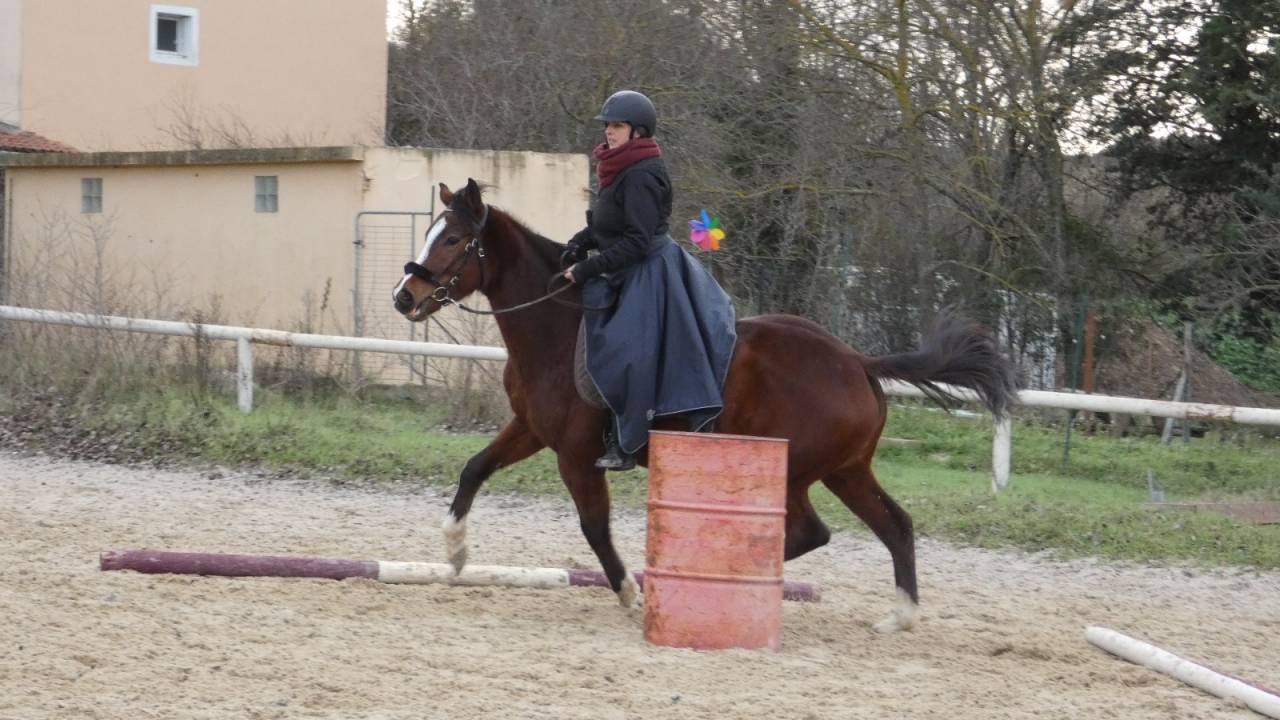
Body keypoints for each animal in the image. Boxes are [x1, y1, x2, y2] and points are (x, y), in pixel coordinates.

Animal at [392, 179, 1017, 632]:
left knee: (812, 531)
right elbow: (474, 469)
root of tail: (857, 362)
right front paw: (454, 553)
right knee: (895, 525)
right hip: (845, 471)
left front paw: (631, 594)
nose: (404, 297)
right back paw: (899, 616)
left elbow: (594, 527)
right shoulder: (530, 429)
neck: (557, 324)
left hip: (796, 471)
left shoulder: (575, 454)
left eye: (452, 240)